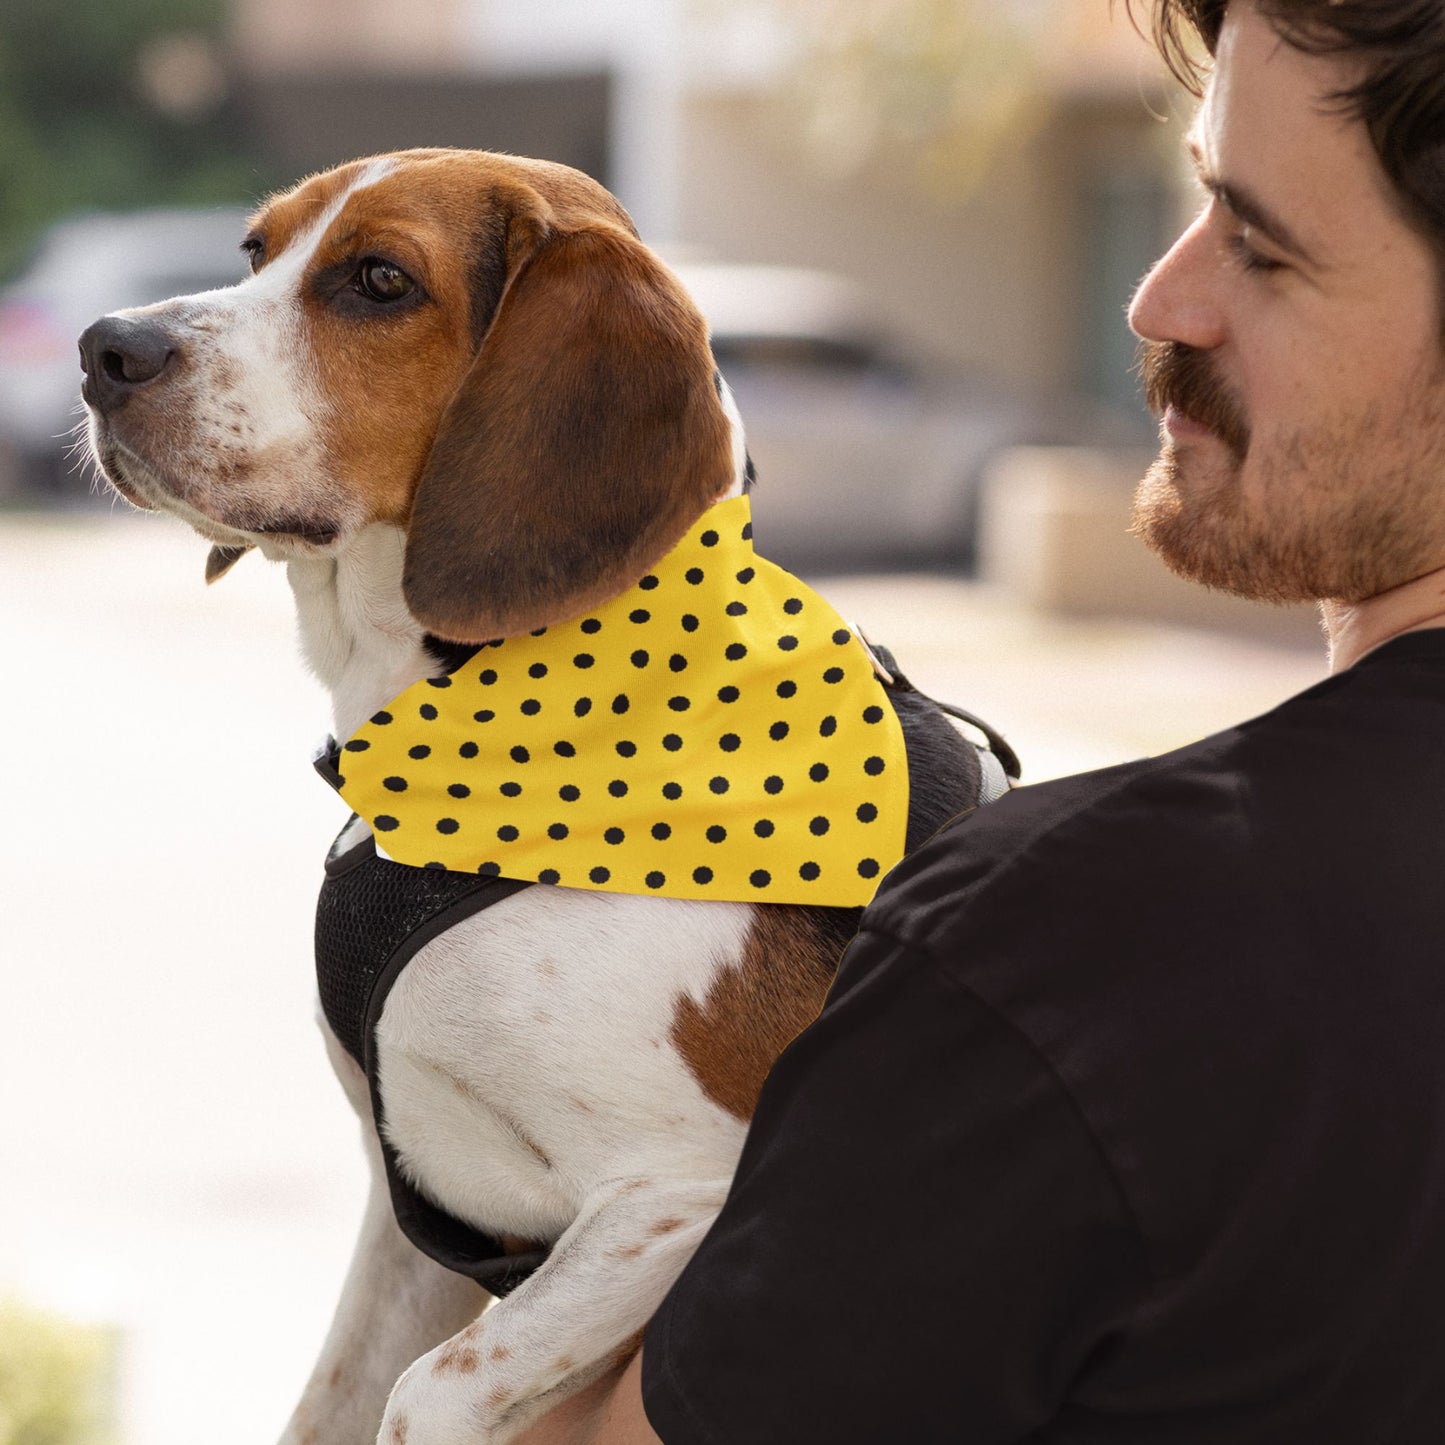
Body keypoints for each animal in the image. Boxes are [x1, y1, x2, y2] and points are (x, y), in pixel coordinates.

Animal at [76, 149, 1005, 1445]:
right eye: (257, 249)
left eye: (378, 280)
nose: (104, 348)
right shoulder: (410, 1213)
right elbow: (332, 1401)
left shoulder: (677, 1194)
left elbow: (423, 1391)